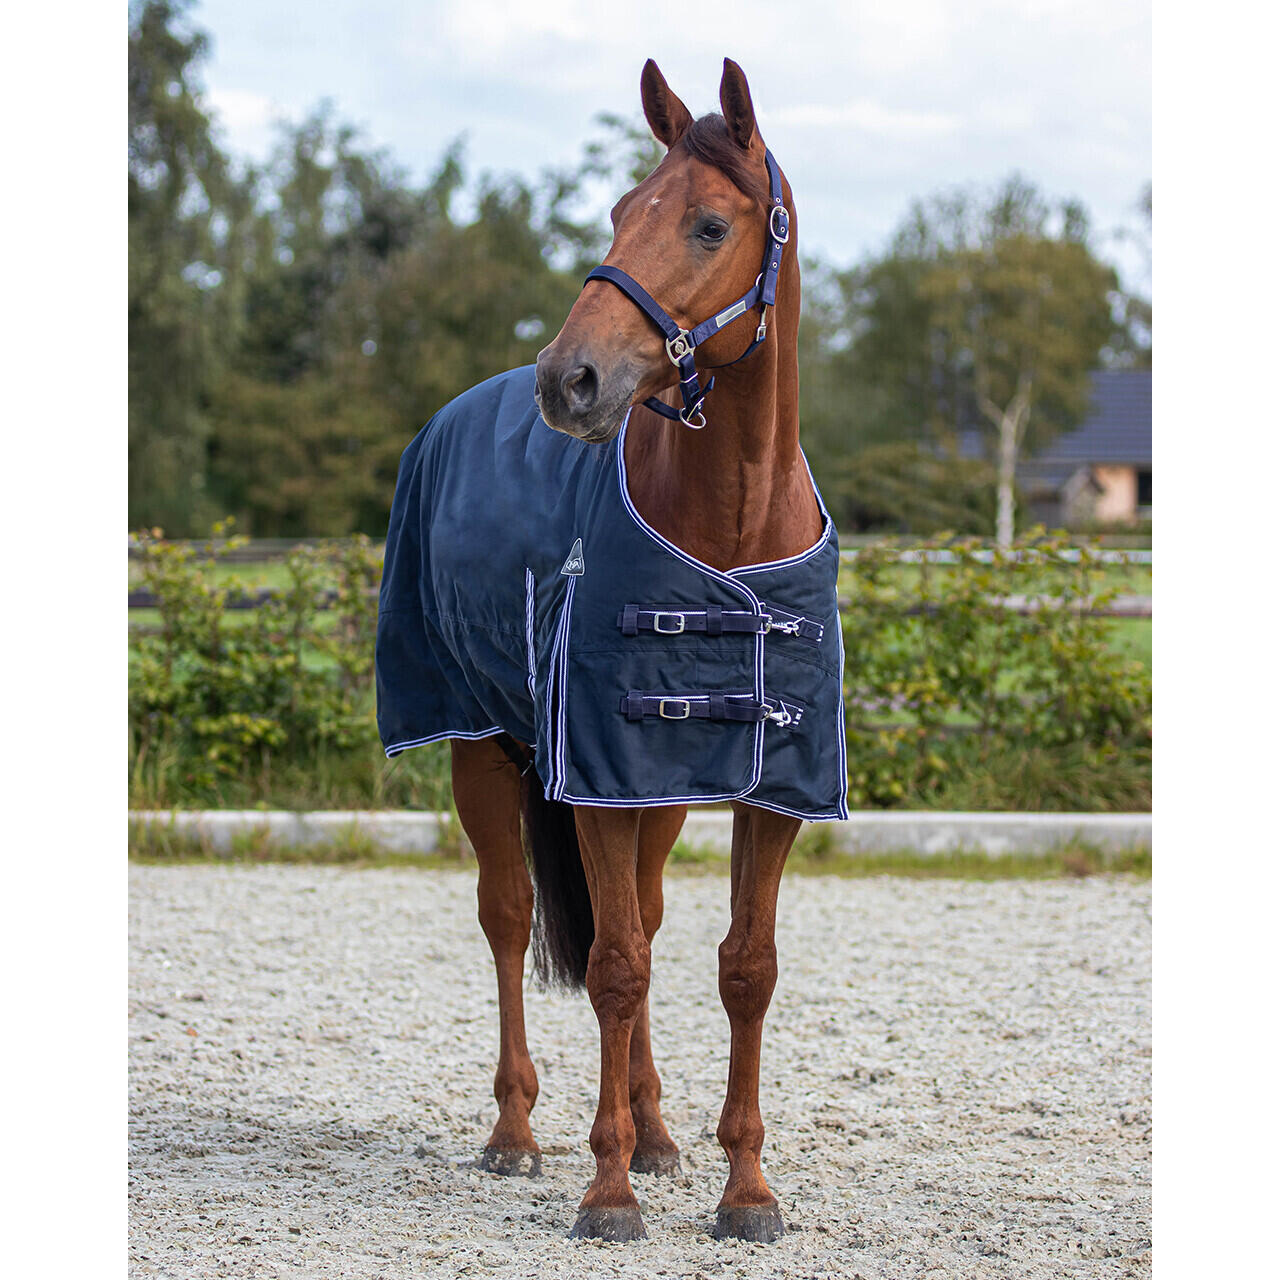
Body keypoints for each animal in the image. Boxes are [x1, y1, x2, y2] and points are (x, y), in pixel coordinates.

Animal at [375, 58, 846, 1243]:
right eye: (621, 210)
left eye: (709, 223)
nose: (569, 380)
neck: (729, 528)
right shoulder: (590, 775)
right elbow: (614, 965)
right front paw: (607, 1188)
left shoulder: (768, 789)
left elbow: (742, 968)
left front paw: (743, 1187)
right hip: (482, 747)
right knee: (510, 920)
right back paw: (516, 1131)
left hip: (656, 791)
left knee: (641, 917)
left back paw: (659, 1128)